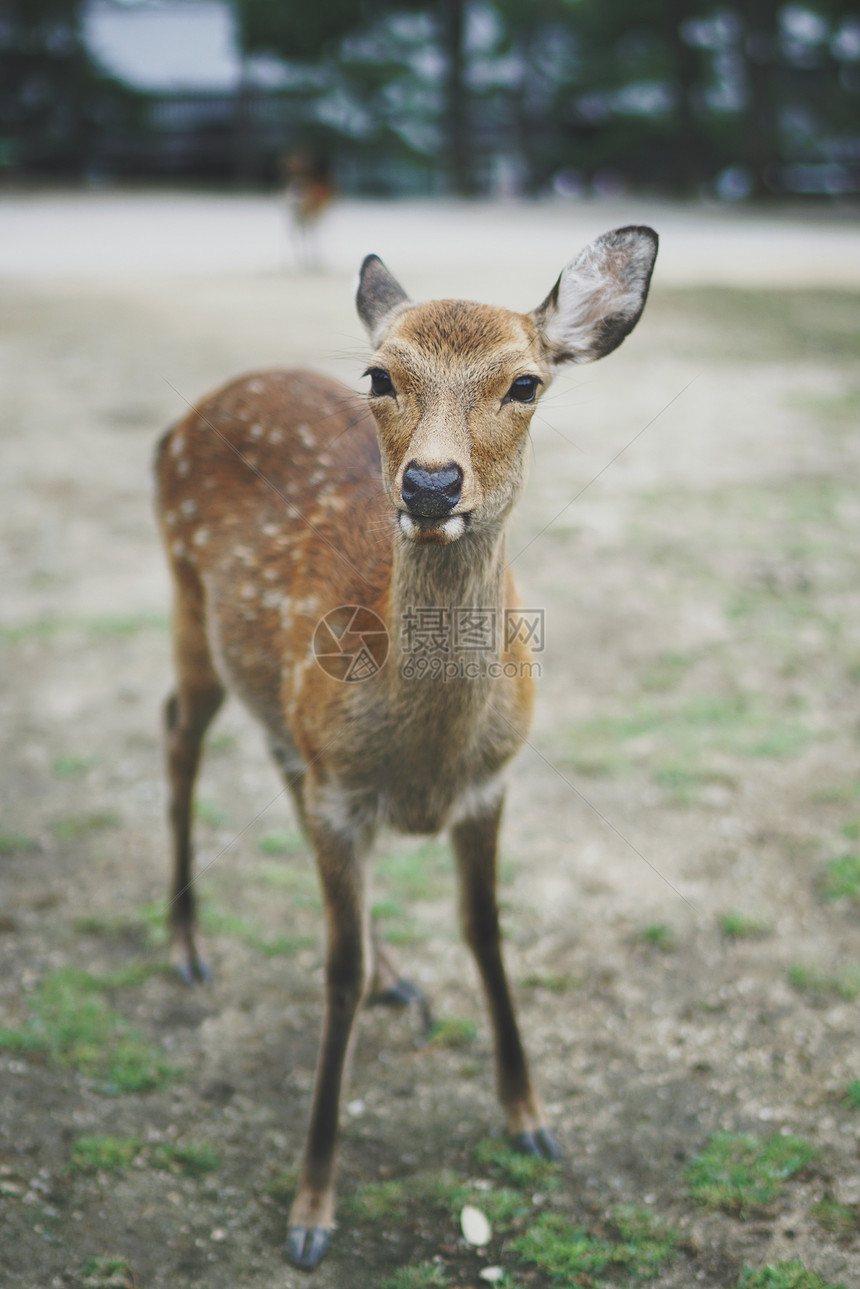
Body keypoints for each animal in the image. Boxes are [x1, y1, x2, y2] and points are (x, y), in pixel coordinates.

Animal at [154, 224, 660, 1268]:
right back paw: (186, 944)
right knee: (177, 730)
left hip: (278, 700)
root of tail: (175, 427)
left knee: (266, 758)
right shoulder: (344, 797)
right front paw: (311, 1207)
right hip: (188, 602)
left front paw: (530, 1115)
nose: (430, 483)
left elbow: (487, 931)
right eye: (379, 374)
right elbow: (333, 971)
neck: (426, 757)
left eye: (526, 382)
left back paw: (397, 977)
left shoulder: (490, 782)